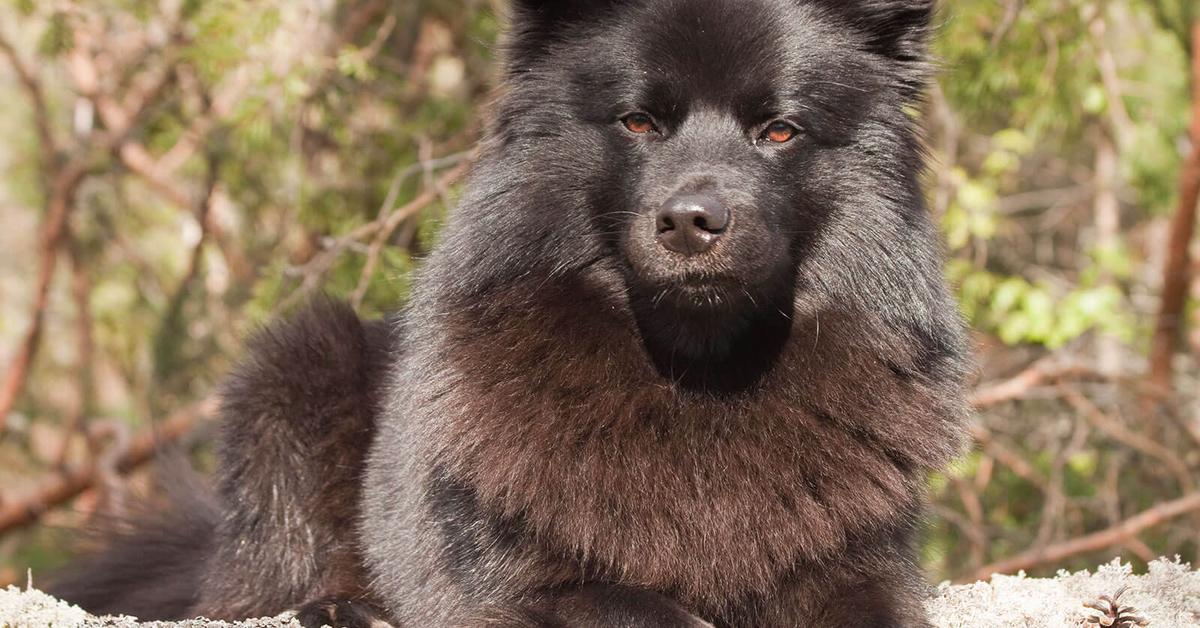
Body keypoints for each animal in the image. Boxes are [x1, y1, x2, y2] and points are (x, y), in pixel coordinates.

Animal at [54, 2, 964, 624]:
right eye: (638, 121)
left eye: (778, 131)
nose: (690, 221)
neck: (695, 368)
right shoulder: (513, 582)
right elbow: (633, 605)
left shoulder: (856, 566)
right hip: (301, 364)